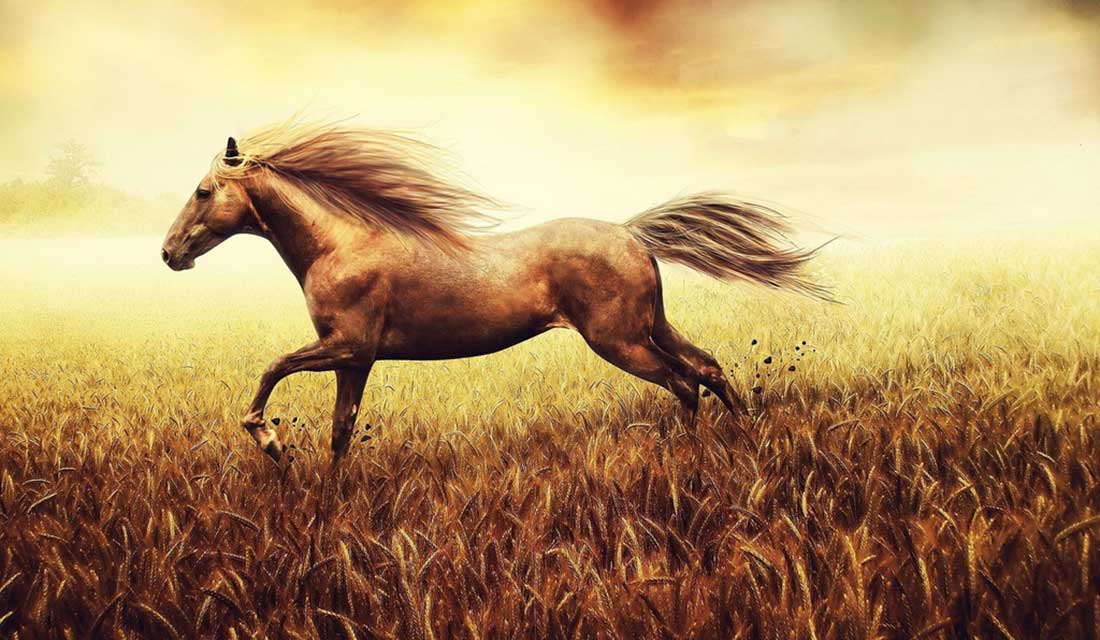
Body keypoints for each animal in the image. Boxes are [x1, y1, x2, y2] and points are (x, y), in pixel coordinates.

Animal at [161, 121, 828, 466]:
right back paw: (743, 439)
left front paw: (271, 442)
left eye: (202, 191)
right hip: (650, 326)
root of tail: (632, 234)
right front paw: (327, 497)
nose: (169, 254)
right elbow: (340, 430)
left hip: (618, 340)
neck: (340, 245)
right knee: (707, 367)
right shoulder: (355, 359)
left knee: (682, 382)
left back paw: (690, 457)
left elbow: (272, 369)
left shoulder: (347, 346)